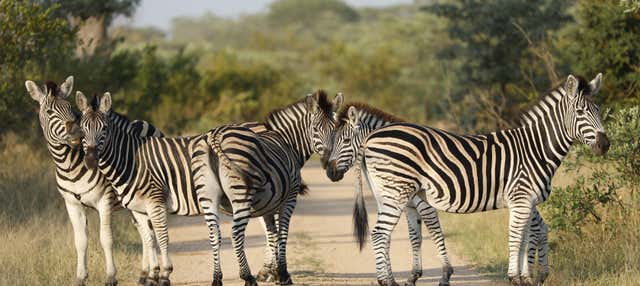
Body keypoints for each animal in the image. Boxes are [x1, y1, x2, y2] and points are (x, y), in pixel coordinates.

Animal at [24, 76, 165, 286]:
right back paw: (143, 275)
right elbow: (80, 241)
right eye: (49, 112)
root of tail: (142, 122)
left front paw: (111, 277)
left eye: (70, 108)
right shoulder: (72, 204)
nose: (76, 132)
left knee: (151, 231)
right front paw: (80, 277)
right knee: (144, 232)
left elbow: (106, 239)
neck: (69, 165)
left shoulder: (104, 200)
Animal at [324, 103, 552, 286]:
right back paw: (537, 275)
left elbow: (433, 233)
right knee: (539, 228)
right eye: (334, 140)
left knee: (535, 229)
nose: (330, 172)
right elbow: (412, 237)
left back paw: (533, 274)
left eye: (345, 140)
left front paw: (444, 274)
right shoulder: (407, 205)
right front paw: (410, 276)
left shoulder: (422, 204)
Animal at [350, 74, 604, 286]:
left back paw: (390, 279)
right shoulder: (522, 199)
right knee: (380, 233)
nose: (605, 144)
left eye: (599, 110)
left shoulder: (525, 202)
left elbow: (527, 236)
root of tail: (371, 137)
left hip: (386, 193)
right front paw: (515, 278)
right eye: (580, 112)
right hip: (397, 191)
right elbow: (517, 237)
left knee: (384, 234)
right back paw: (386, 282)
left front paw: (526, 277)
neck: (535, 149)